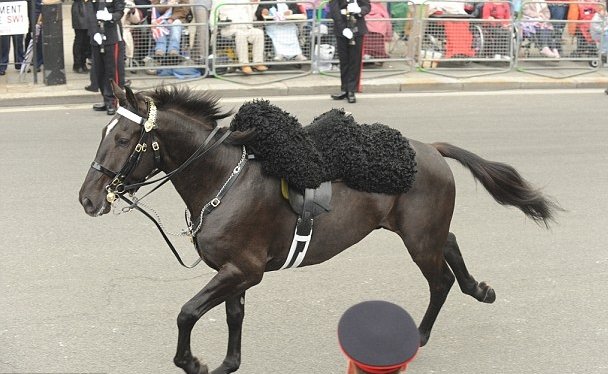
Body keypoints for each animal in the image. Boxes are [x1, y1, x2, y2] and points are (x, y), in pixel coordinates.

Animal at [78, 84, 560, 374]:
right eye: (104, 133)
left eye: (123, 139)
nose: (87, 198)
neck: (224, 180)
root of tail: (429, 148)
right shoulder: (234, 272)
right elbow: (233, 317)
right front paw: (227, 362)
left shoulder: (243, 270)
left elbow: (188, 312)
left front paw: (192, 361)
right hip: (423, 231)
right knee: (453, 245)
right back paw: (478, 288)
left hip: (419, 241)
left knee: (440, 279)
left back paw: (419, 335)